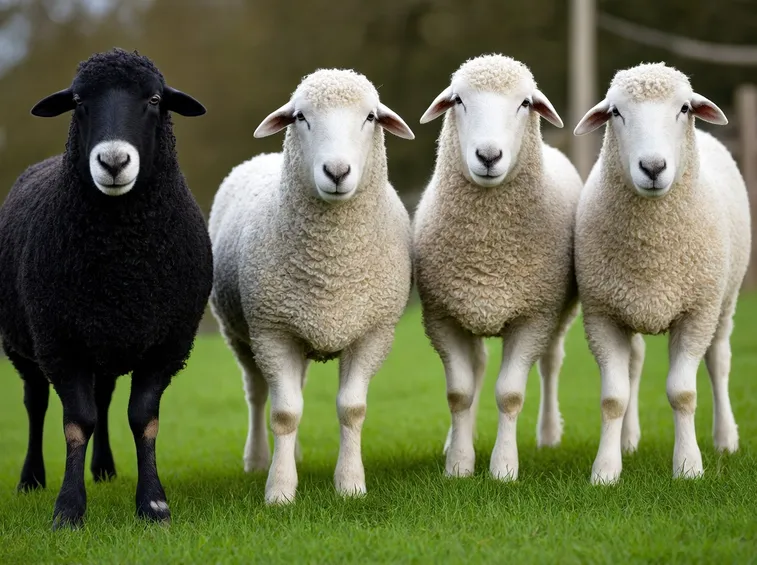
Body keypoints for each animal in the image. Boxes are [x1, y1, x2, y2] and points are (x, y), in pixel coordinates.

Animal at [0, 48, 212, 528]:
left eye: (154, 99)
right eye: (79, 101)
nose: (113, 163)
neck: (121, 267)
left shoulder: (166, 345)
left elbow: (142, 418)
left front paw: (152, 504)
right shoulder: (61, 342)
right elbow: (77, 421)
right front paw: (68, 509)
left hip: (106, 343)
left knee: (103, 398)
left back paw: (104, 469)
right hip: (25, 346)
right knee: (36, 404)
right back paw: (31, 478)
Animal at [208, 68, 415, 505]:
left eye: (370, 117)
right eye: (301, 116)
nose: (336, 172)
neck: (330, 270)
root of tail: (262, 157)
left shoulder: (373, 333)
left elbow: (351, 409)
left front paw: (350, 484)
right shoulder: (272, 331)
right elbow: (284, 413)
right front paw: (280, 490)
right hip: (240, 335)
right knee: (257, 395)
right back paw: (258, 459)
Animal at [413, 54, 582, 481]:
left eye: (525, 103)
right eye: (458, 100)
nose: (488, 157)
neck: (489, 253)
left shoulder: (533, 317)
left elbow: (510, 394)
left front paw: (504, 467)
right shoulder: (442, 317)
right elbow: (459, 393)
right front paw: (459, 463)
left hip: (560, 313)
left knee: (551, 362)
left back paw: (549, 434)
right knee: (477, 368)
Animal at [573, 62, 750, 484]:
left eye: (684, 108)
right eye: (615, 112)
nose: (653, 168)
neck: (653, 251)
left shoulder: (696, 313)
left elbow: (683, 393)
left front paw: (688, 466)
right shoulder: (602, 315)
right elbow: (614, 398)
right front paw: (606, 470)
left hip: (725, 300)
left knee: (719, 361)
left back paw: (725, 439)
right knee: (635, 365)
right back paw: (628, 440)